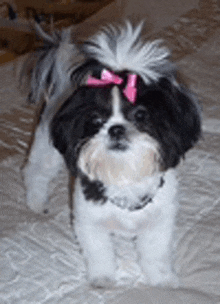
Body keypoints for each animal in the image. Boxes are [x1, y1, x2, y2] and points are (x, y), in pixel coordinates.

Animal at [21, 21, 201, 288]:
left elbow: (156, 254)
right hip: (47, 147)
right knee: (36, 173)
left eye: (140, 115)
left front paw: (162, 279)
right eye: (96, 120)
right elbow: (99, 251)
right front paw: (102, 277)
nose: (116, 128)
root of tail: (62, 87)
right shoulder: (89, 221)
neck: (124, 174)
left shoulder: (159, 221)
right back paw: (36, 202)